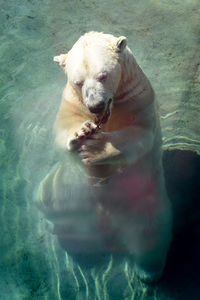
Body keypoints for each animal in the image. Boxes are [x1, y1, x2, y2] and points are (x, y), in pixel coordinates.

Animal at [42, 31, 173, 282]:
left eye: (103, 76)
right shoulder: (71, 103)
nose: (95, 105)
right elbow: (61, 130)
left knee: (149, 235)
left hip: (144, 200)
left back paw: (148, 272)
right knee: (50, 202)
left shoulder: (138, 100)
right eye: (78, 81)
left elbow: (139, 136)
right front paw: (81, 133)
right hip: (64, 187)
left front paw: (96, 148)